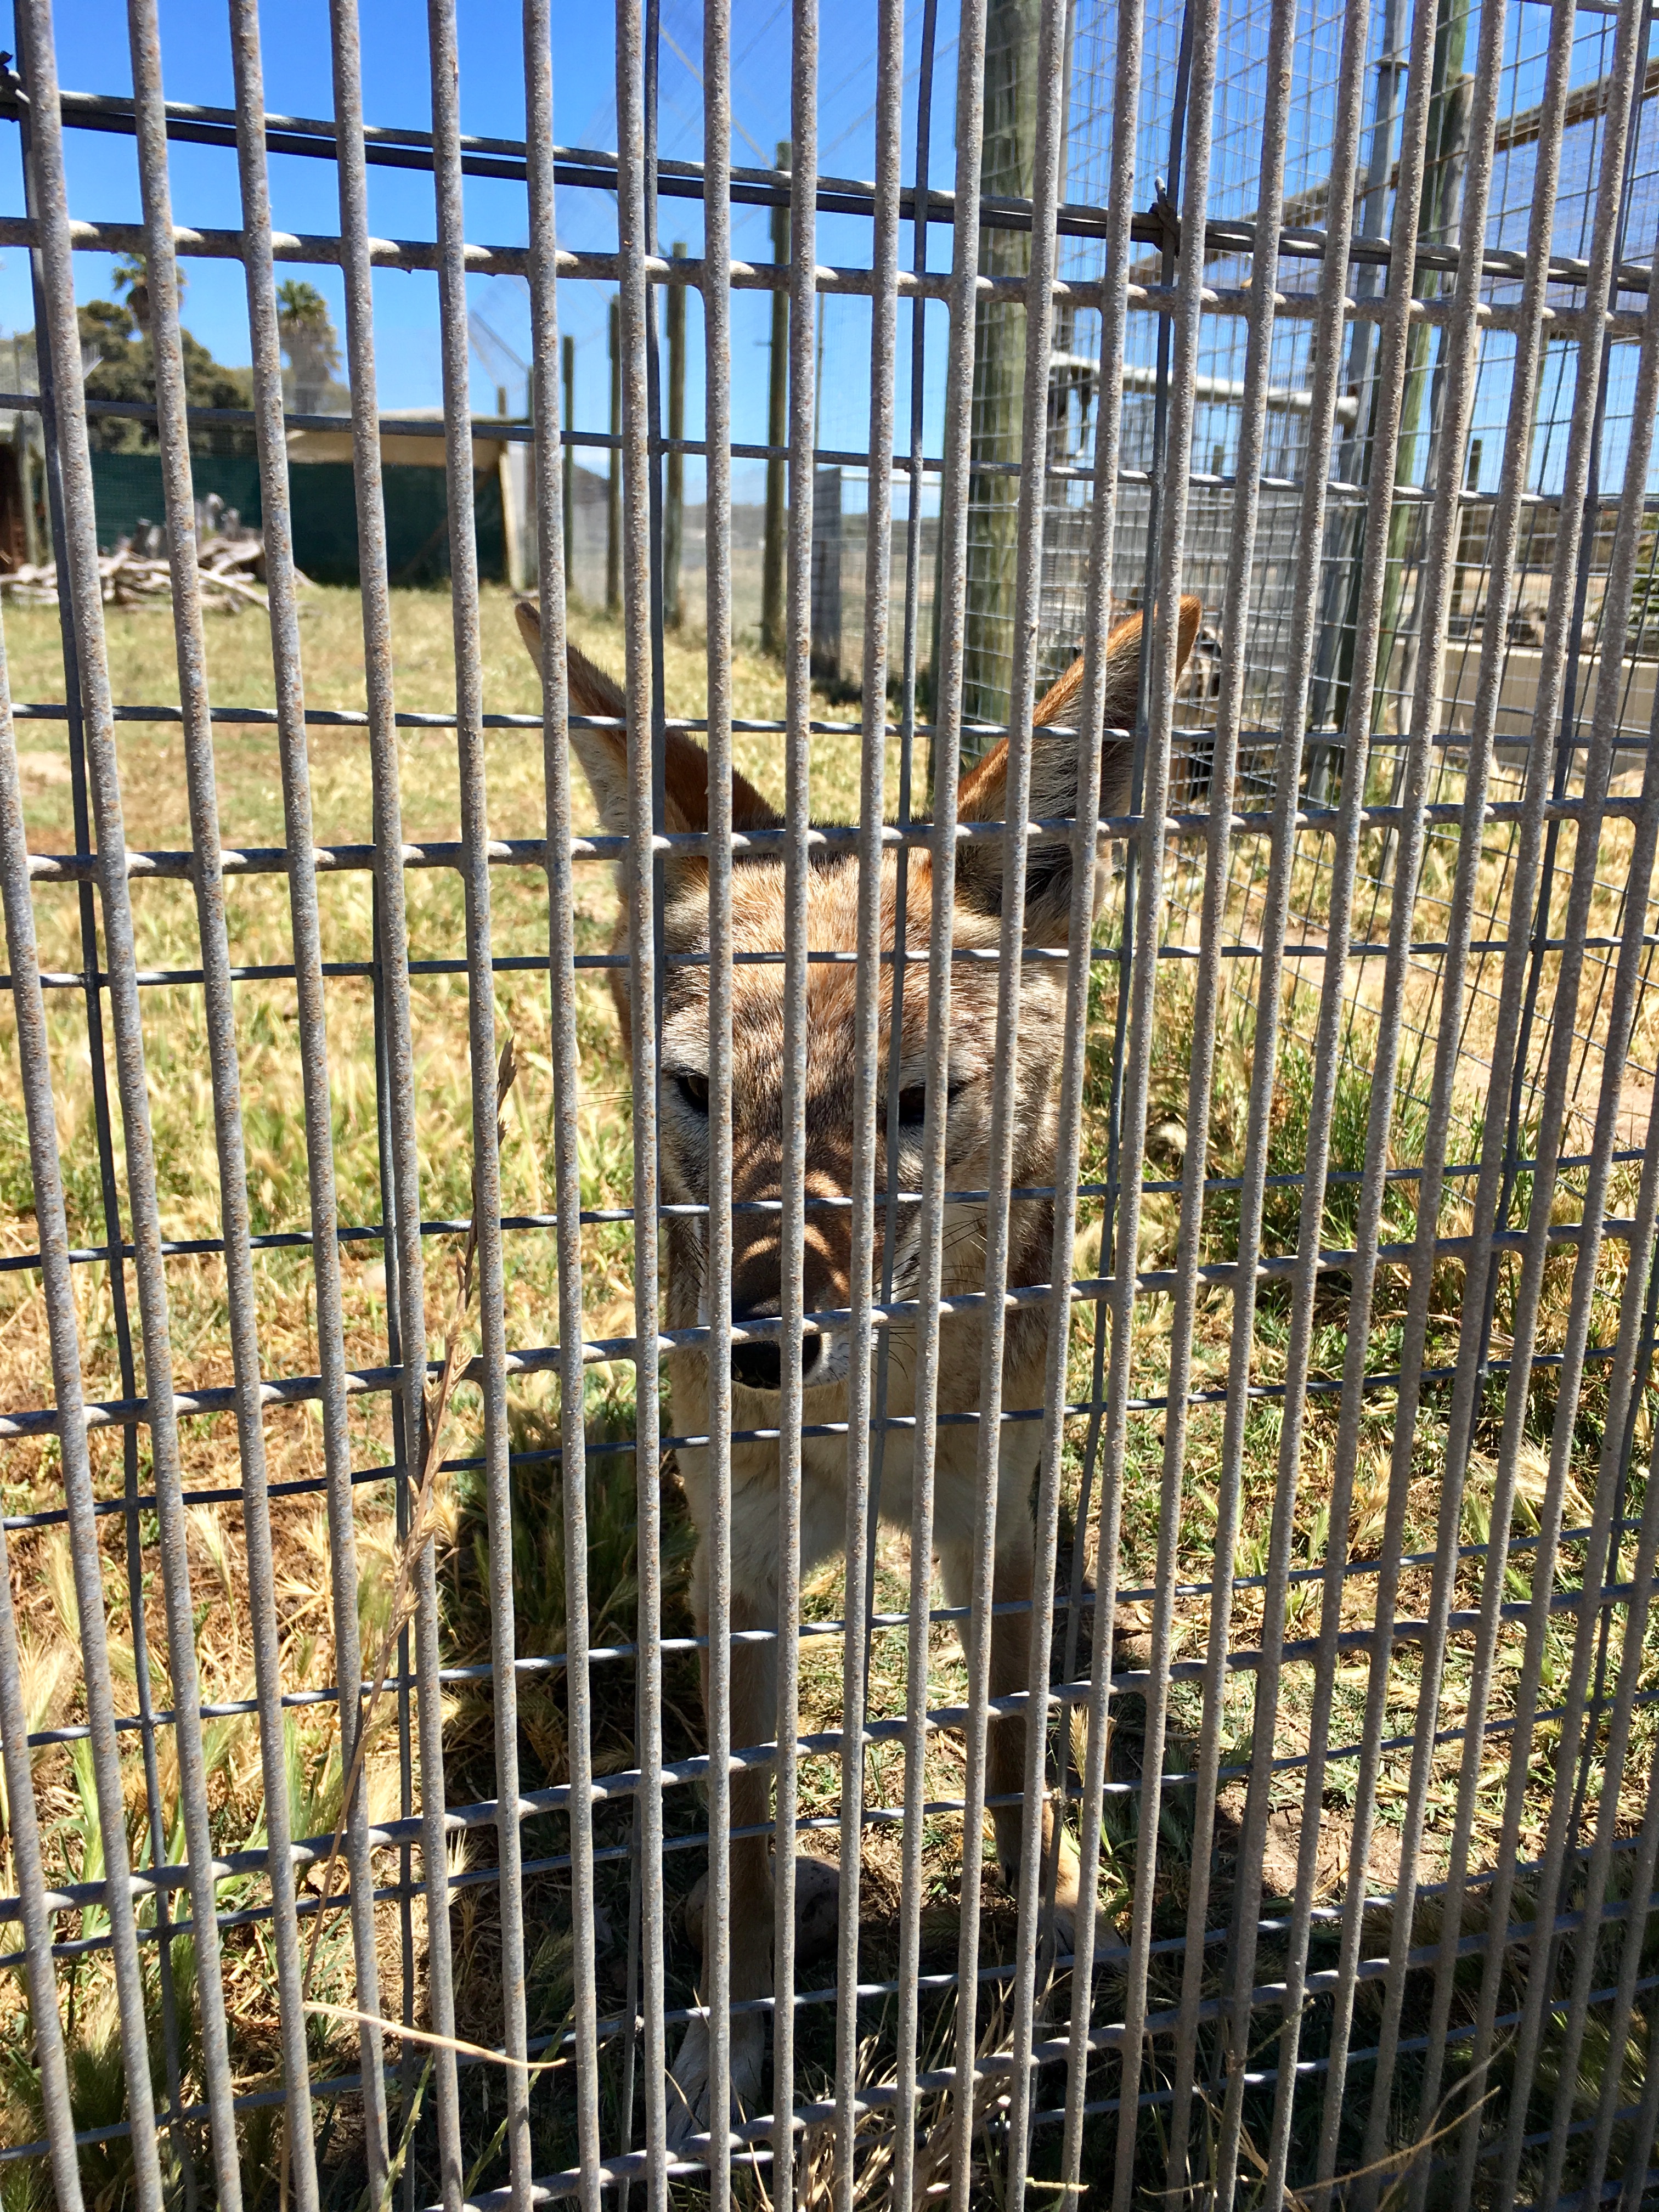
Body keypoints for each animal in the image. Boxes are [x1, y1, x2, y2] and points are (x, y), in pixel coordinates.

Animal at [515, 592, 1201, 2141]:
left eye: (915, 1104)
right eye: (697, 1092)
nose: (766, 1351)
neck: (868, 1411)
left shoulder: (991, 1534)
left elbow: (1012, 1769)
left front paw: (1067, 1952)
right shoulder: (749, 1577)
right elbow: (754, 1853)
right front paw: (727, 2062)